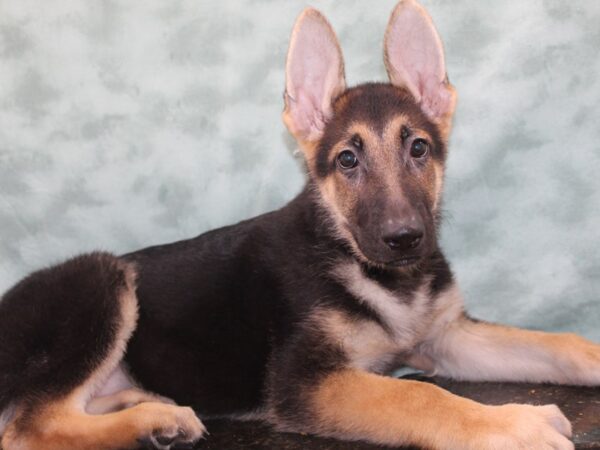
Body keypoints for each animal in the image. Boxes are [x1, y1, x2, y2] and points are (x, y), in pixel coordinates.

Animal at [1, 0, 600, 450]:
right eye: (347, 160)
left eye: (419, 148)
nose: (405, 238)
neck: (371, 268)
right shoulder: (305, 383)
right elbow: (420, 395)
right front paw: (514, 425)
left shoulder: (446, 337)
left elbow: (559, 343)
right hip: (101, 280)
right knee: (28, 426)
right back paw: (153, 422)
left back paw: (142, 402)